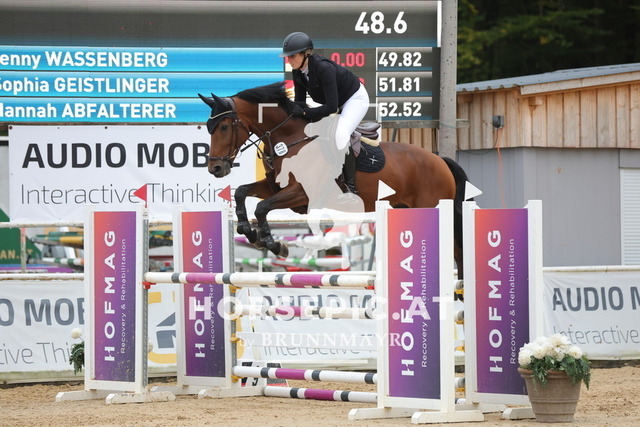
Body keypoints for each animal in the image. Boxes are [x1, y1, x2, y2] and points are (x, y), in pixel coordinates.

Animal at [199, 82, 470, 278]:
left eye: (224, 127)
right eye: (209, 127)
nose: (215, 168)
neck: (289, 138)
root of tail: (440, 160)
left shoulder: (302, 194)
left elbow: (262, 207)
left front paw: (273, 244)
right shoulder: (273, 187)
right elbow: (241, 192)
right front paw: (248, 231)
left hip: (432, 207)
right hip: (404, 207)